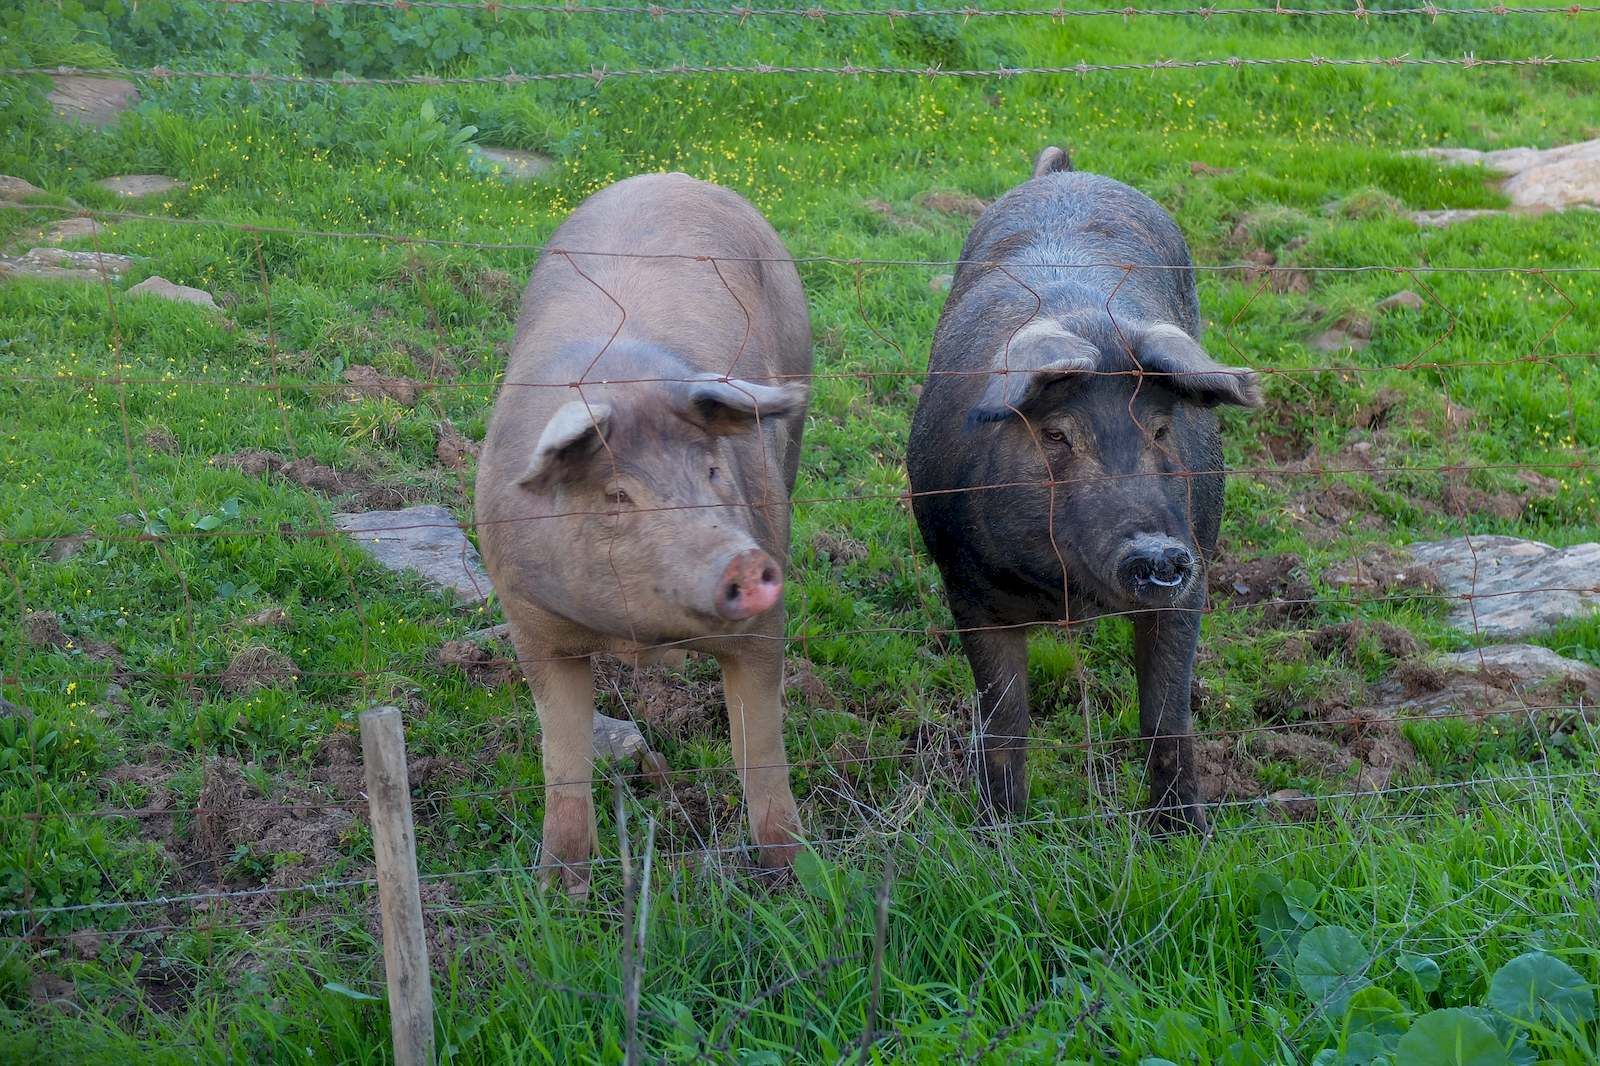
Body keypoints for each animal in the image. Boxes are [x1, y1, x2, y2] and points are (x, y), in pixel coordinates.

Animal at [915, 145, 1260, 825]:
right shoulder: (965, 586)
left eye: (1161, 428)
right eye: (1056, 435)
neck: (1070, 597)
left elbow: (1166, 716)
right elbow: (1005, 722)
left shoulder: (1195, 573)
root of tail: (1065, 173)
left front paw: (1187, 834)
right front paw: (1002, 831)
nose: (1157, 551)